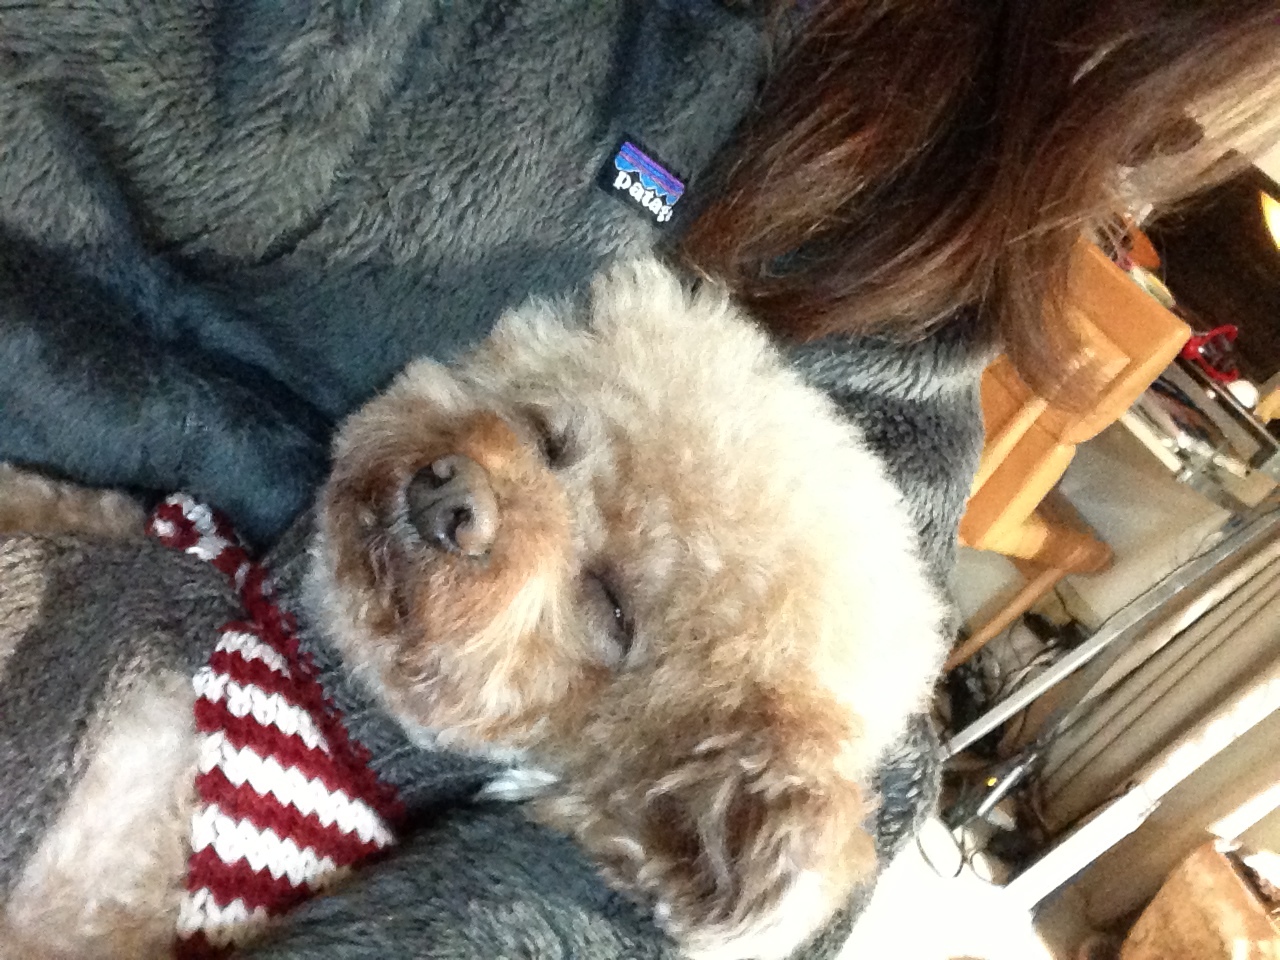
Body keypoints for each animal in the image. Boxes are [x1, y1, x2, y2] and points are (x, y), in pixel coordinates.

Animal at [0, 258, 944, 960]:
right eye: (554, 440)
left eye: (613, 611)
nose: (449, 497)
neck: (314, 671)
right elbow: (70, 505)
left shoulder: (112, 864)